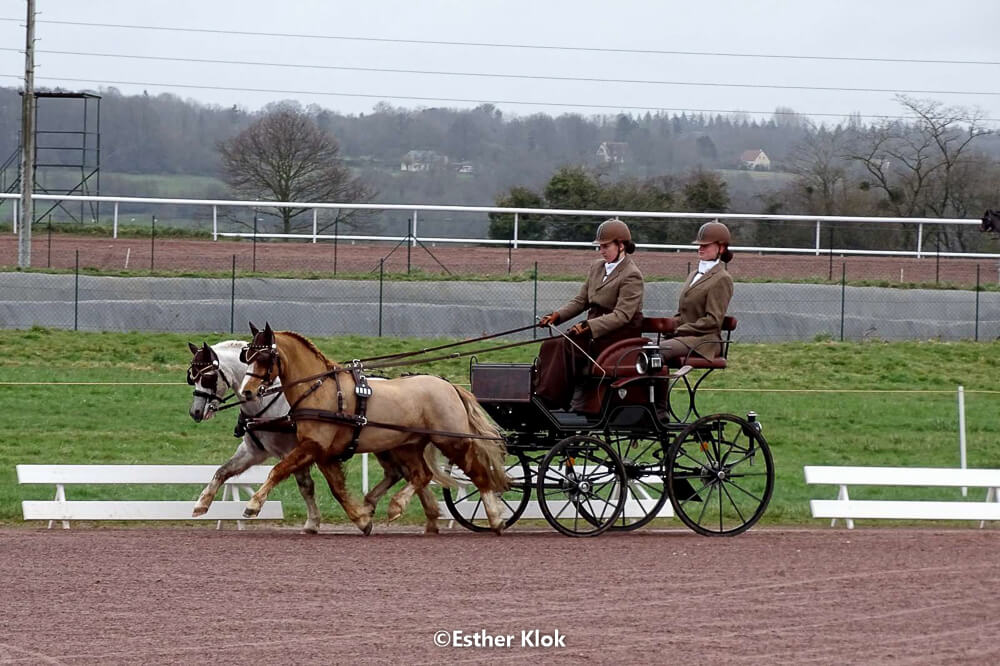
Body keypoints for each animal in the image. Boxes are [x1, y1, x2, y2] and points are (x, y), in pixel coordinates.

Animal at [186, 340, 450, 534]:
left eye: (207, 376)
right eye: (193, 376)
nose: (195, 412)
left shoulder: (303, 449)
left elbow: (308, 486)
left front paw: (316, 522)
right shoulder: (254, 451)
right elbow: (223, 471)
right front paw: (201, 504)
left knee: (410, 474)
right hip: (387, 445)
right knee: (404, 473)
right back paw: (426, 517)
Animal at [238, 323, 511, 534]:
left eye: (263, 357)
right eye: (246, 356)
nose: (246, 392)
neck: (320, 390)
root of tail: (449, 385)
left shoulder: (313, 446)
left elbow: (278, 470)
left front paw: (253, 505)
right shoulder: (323, 452)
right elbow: (337, 489)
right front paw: (362, 520)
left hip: (452, 441)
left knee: (478, 473)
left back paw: (495, 517)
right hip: (409, 445)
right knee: (421, 475)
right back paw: (400, 506)